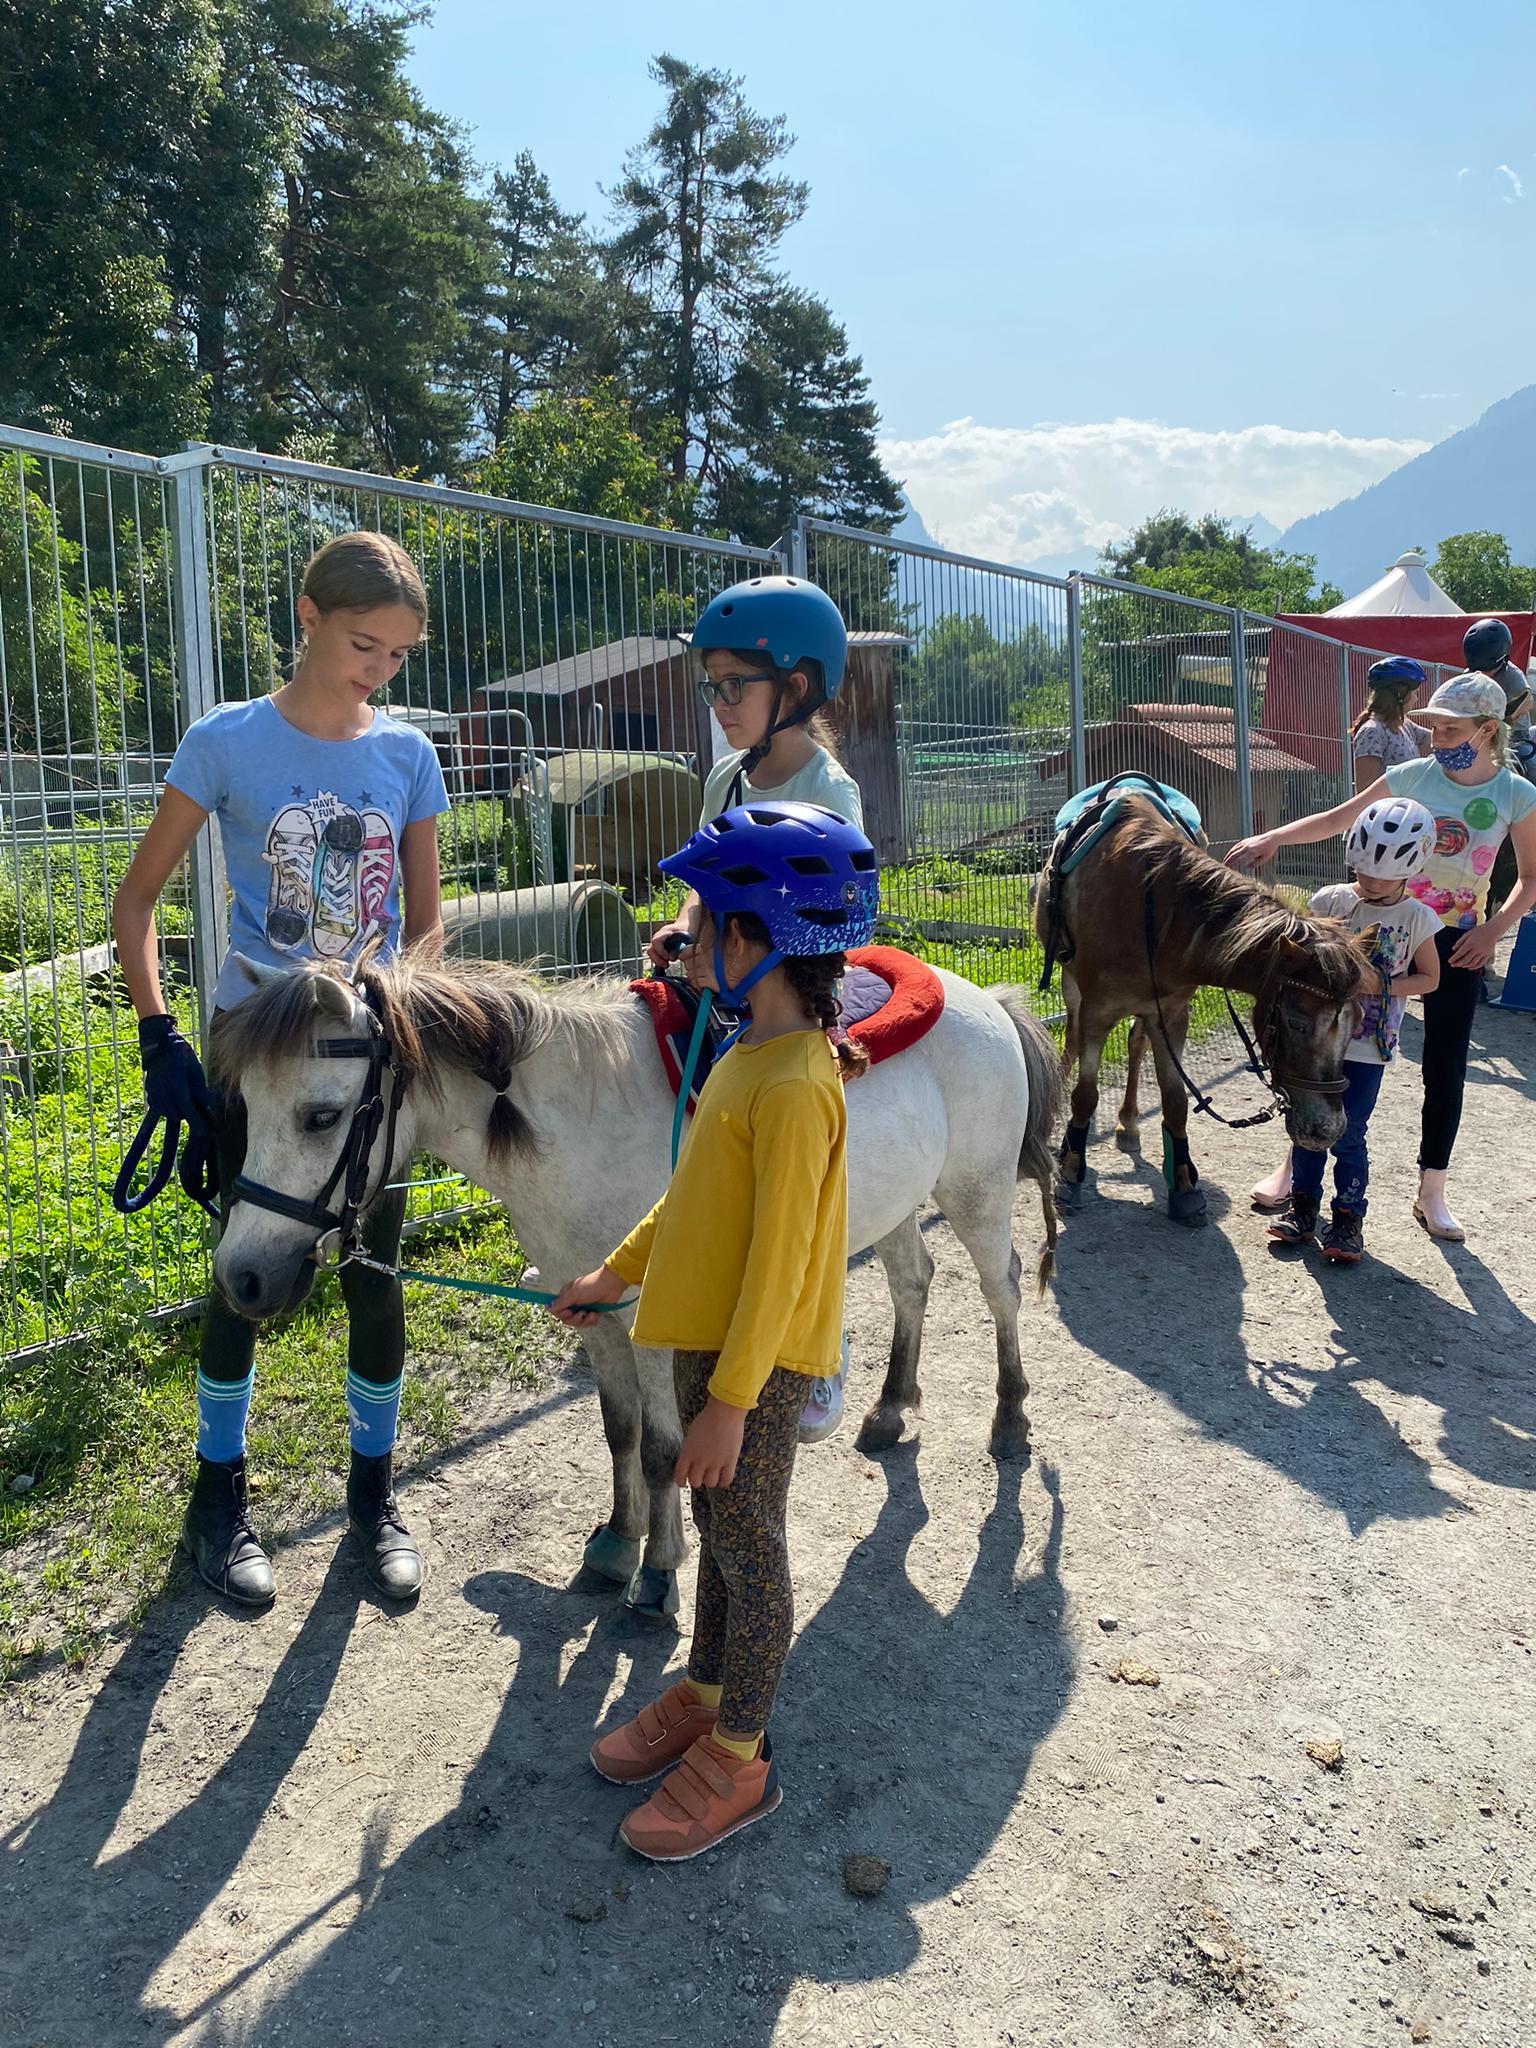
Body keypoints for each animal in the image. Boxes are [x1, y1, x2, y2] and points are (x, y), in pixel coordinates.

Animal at [206, 951, 1064, 1621]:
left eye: (321, 1116)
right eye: (240, 1107)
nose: (242, 1277)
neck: (579, 1128)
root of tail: (986, 998)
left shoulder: (653, 1320)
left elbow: (662, 1447)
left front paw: (658, 1573)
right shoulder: (592, 1311)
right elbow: (618, 1431)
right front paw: (620, 1544)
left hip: (978, 1195)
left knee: (1002, 1289)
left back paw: (1011, 1417)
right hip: (891, 1205)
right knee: (913, 1281)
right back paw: (890, 1408)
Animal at [1034, 794, 1373, 1227]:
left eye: (1357, 1024)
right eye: (1297, 1023)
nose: (1327, 1129)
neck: (1155, 911)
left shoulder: (1172, 1014)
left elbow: (1176, 1101)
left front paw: (1182, 1184)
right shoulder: (1097, 1009)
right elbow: (1086, 1094)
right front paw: (1072, 1171)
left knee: (1136, 1044)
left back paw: (1129, 1123)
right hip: (1071, 985)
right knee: (1073, 1042)